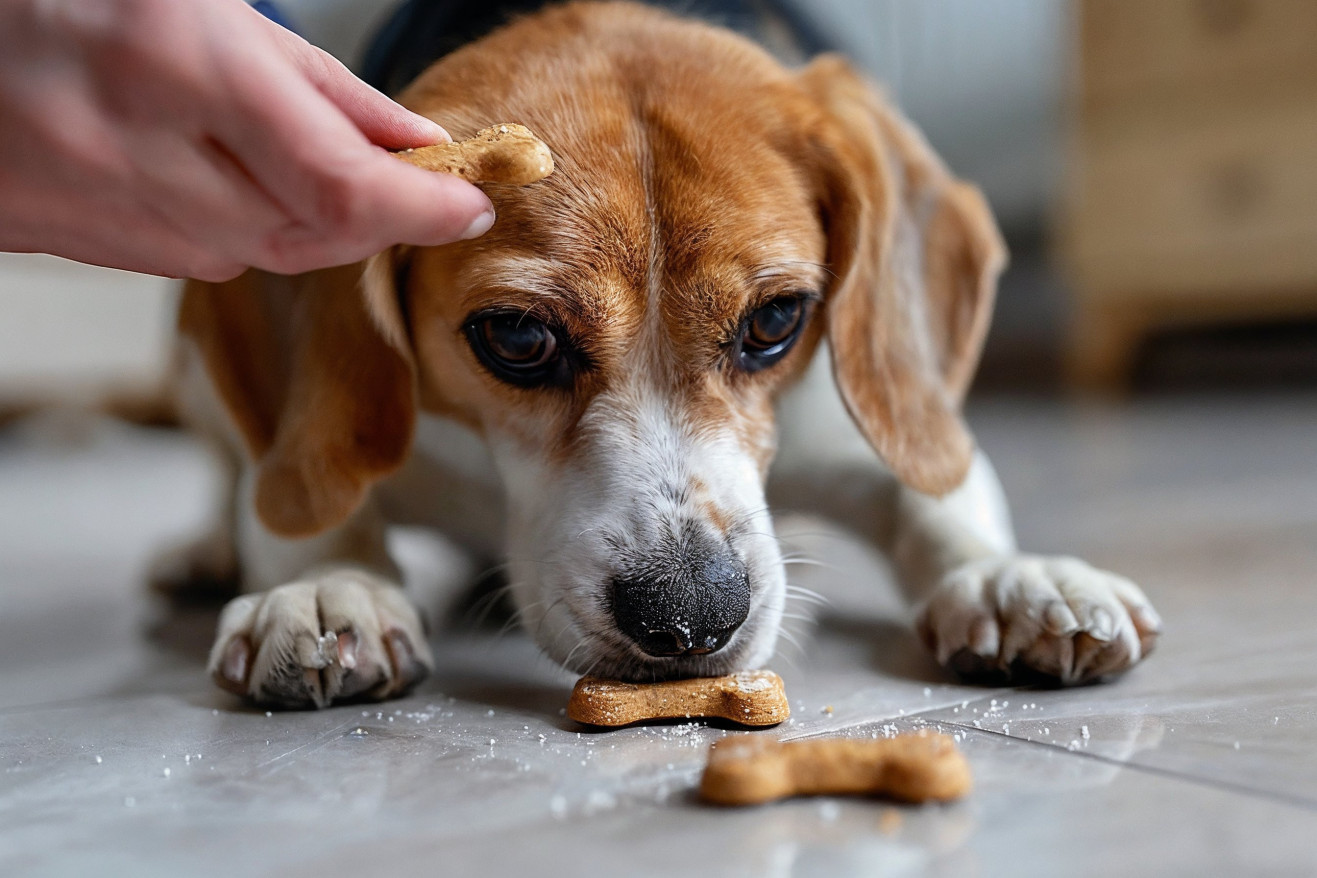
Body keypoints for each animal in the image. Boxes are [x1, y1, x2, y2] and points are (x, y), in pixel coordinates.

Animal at [169, 3, 1158, 710]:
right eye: (517, 338)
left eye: (776, 320)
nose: (688, 620)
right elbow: (300, 500)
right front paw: (326, 587)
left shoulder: (848, 433)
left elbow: (940, 493)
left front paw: (1008, 579)